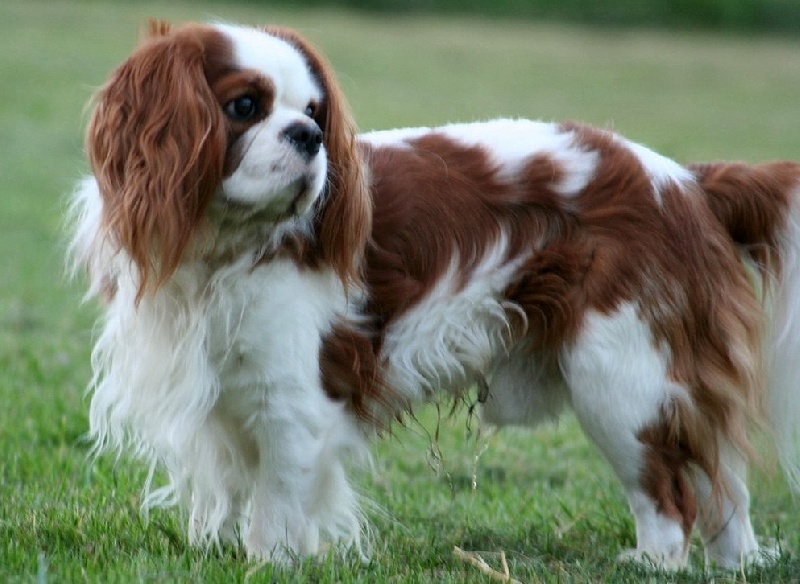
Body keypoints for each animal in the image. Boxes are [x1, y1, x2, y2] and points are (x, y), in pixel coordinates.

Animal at [70, 20, 800, 568]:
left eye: (315, 113)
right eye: (244, 106)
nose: (309, 137)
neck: (220, 249)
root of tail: (688, 181)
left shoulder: (293, 397)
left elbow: (276, 500)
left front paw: (268, 562)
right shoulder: (217, 390)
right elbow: (222, 487)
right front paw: (212, 550)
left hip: (620, 378)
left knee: (671, 494)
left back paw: (653, 562)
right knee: (723, 484)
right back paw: (734, 564)